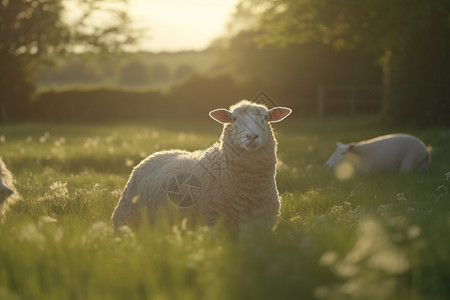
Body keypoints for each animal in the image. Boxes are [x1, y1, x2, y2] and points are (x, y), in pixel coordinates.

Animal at [112, 99, 292, 231]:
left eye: (266, 118)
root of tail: (157, 154)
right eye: (234, 119)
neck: (249, 191)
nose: (252, 136)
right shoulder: (213, 220)